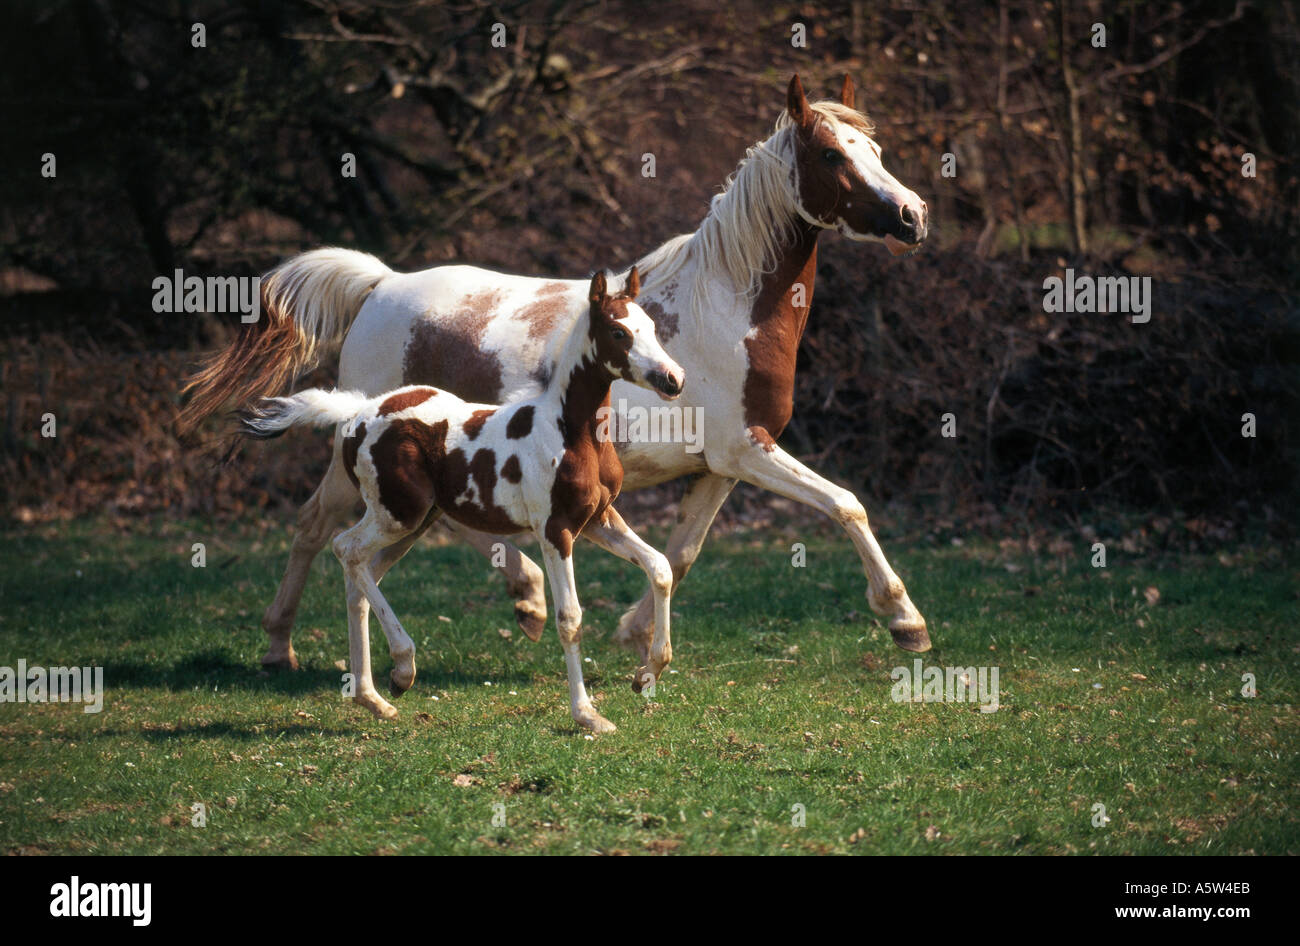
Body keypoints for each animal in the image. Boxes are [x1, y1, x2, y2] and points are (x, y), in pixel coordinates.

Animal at [180, 74, 935, 670]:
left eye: (875, 150)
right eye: (834, 153)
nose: (913, 215)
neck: (723, 311)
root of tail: (380, 283)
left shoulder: (720, 465)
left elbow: (682, 554)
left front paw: (632, 635)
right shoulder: (748, 451)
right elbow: (846, 503)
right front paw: (906, 621)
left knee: (390, 536)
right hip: (369, 462)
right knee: (318, 528)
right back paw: (290, 644)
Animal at [240, 270, 681, 732]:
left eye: (651, 327)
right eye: (619, 332)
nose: (673, 380)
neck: (569, 432)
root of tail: (359, 412)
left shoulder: (598, 519)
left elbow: (660, 568)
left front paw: (647, 672)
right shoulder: (554, 530)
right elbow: (570, 619)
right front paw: (588, 715)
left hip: (412, 523)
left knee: (359, 576)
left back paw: (374, 696)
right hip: (397, 515)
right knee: (344, 548)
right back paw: (402, 667)